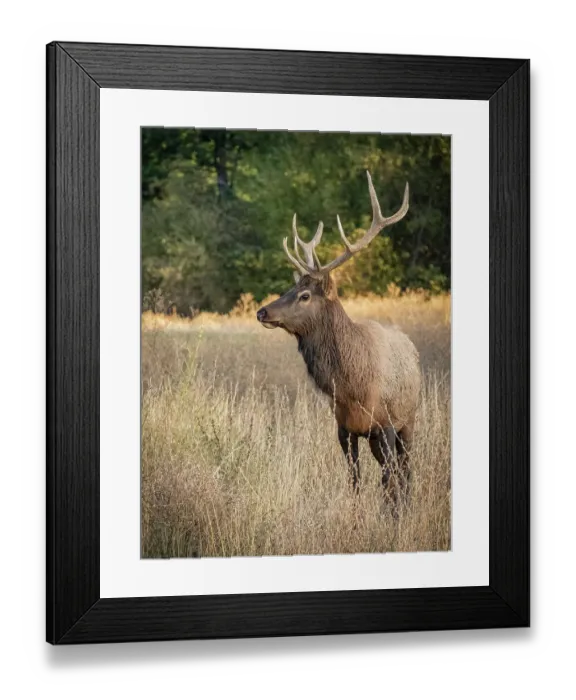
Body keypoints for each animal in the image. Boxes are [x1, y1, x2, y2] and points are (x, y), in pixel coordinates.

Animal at [256, 172, 421, 503]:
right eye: (291, 288)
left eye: (305, 295)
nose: (262, 311)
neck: (351, 386)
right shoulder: (344, 426)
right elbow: (354, 481)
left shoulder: (385, 422)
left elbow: (388, 481)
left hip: (408, 420)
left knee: (405, 473)